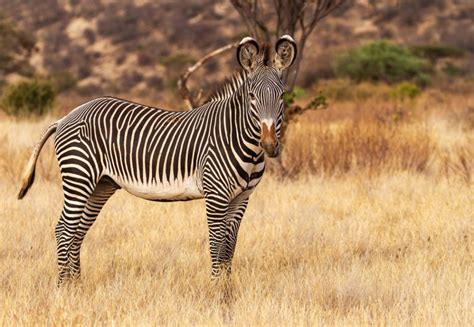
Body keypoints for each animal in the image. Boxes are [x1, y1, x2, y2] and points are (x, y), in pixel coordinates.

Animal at [19, 36, 300, 284]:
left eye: (282, 96)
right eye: (252, 96)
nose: (270, 145)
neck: (242, 142)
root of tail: (66, 116)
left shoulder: (242, 198)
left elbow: (229, 248)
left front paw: (228, 291)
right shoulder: (216, 195)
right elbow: (216, 245)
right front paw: (216, 292)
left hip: (100, 185)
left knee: (77, 232)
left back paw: (77, 287)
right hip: (79, 176)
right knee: (64, 230)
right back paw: (63, 288)